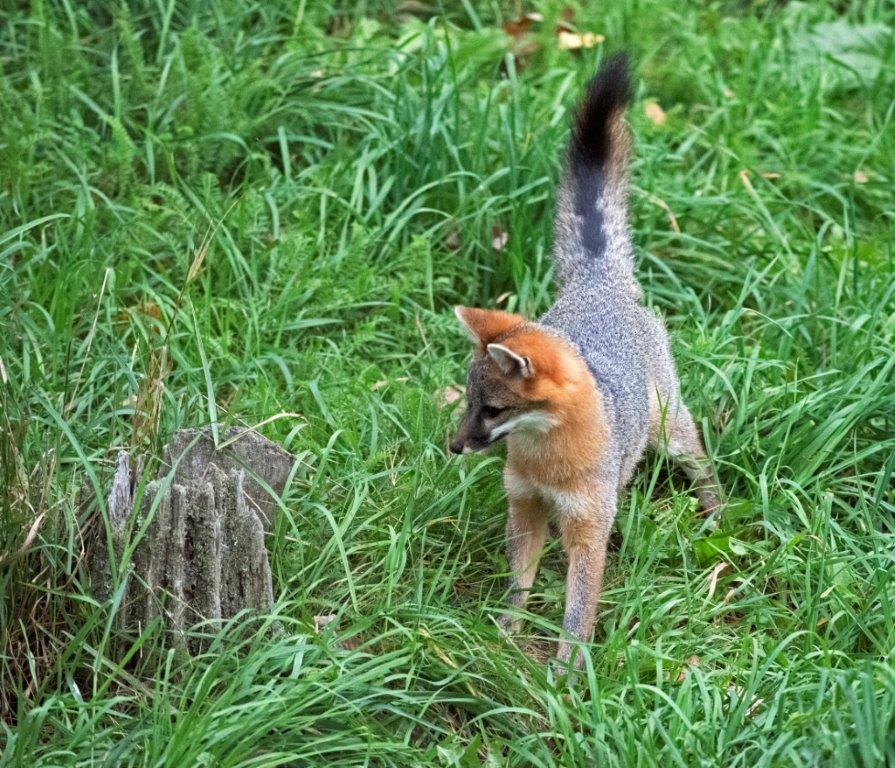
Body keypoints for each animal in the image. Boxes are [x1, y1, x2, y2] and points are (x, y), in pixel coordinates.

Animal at [449, 54, 722, 669]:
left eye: (493, 410)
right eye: (469, 404)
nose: (453, 446)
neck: (548, 463)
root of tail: (599, 282)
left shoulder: (589, 526)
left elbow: (578, 610)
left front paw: (567, 671)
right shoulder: (525, 507)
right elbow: (519, 584)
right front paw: (505, 634)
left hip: (669, 428)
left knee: (698, 452)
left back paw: (716, 509)